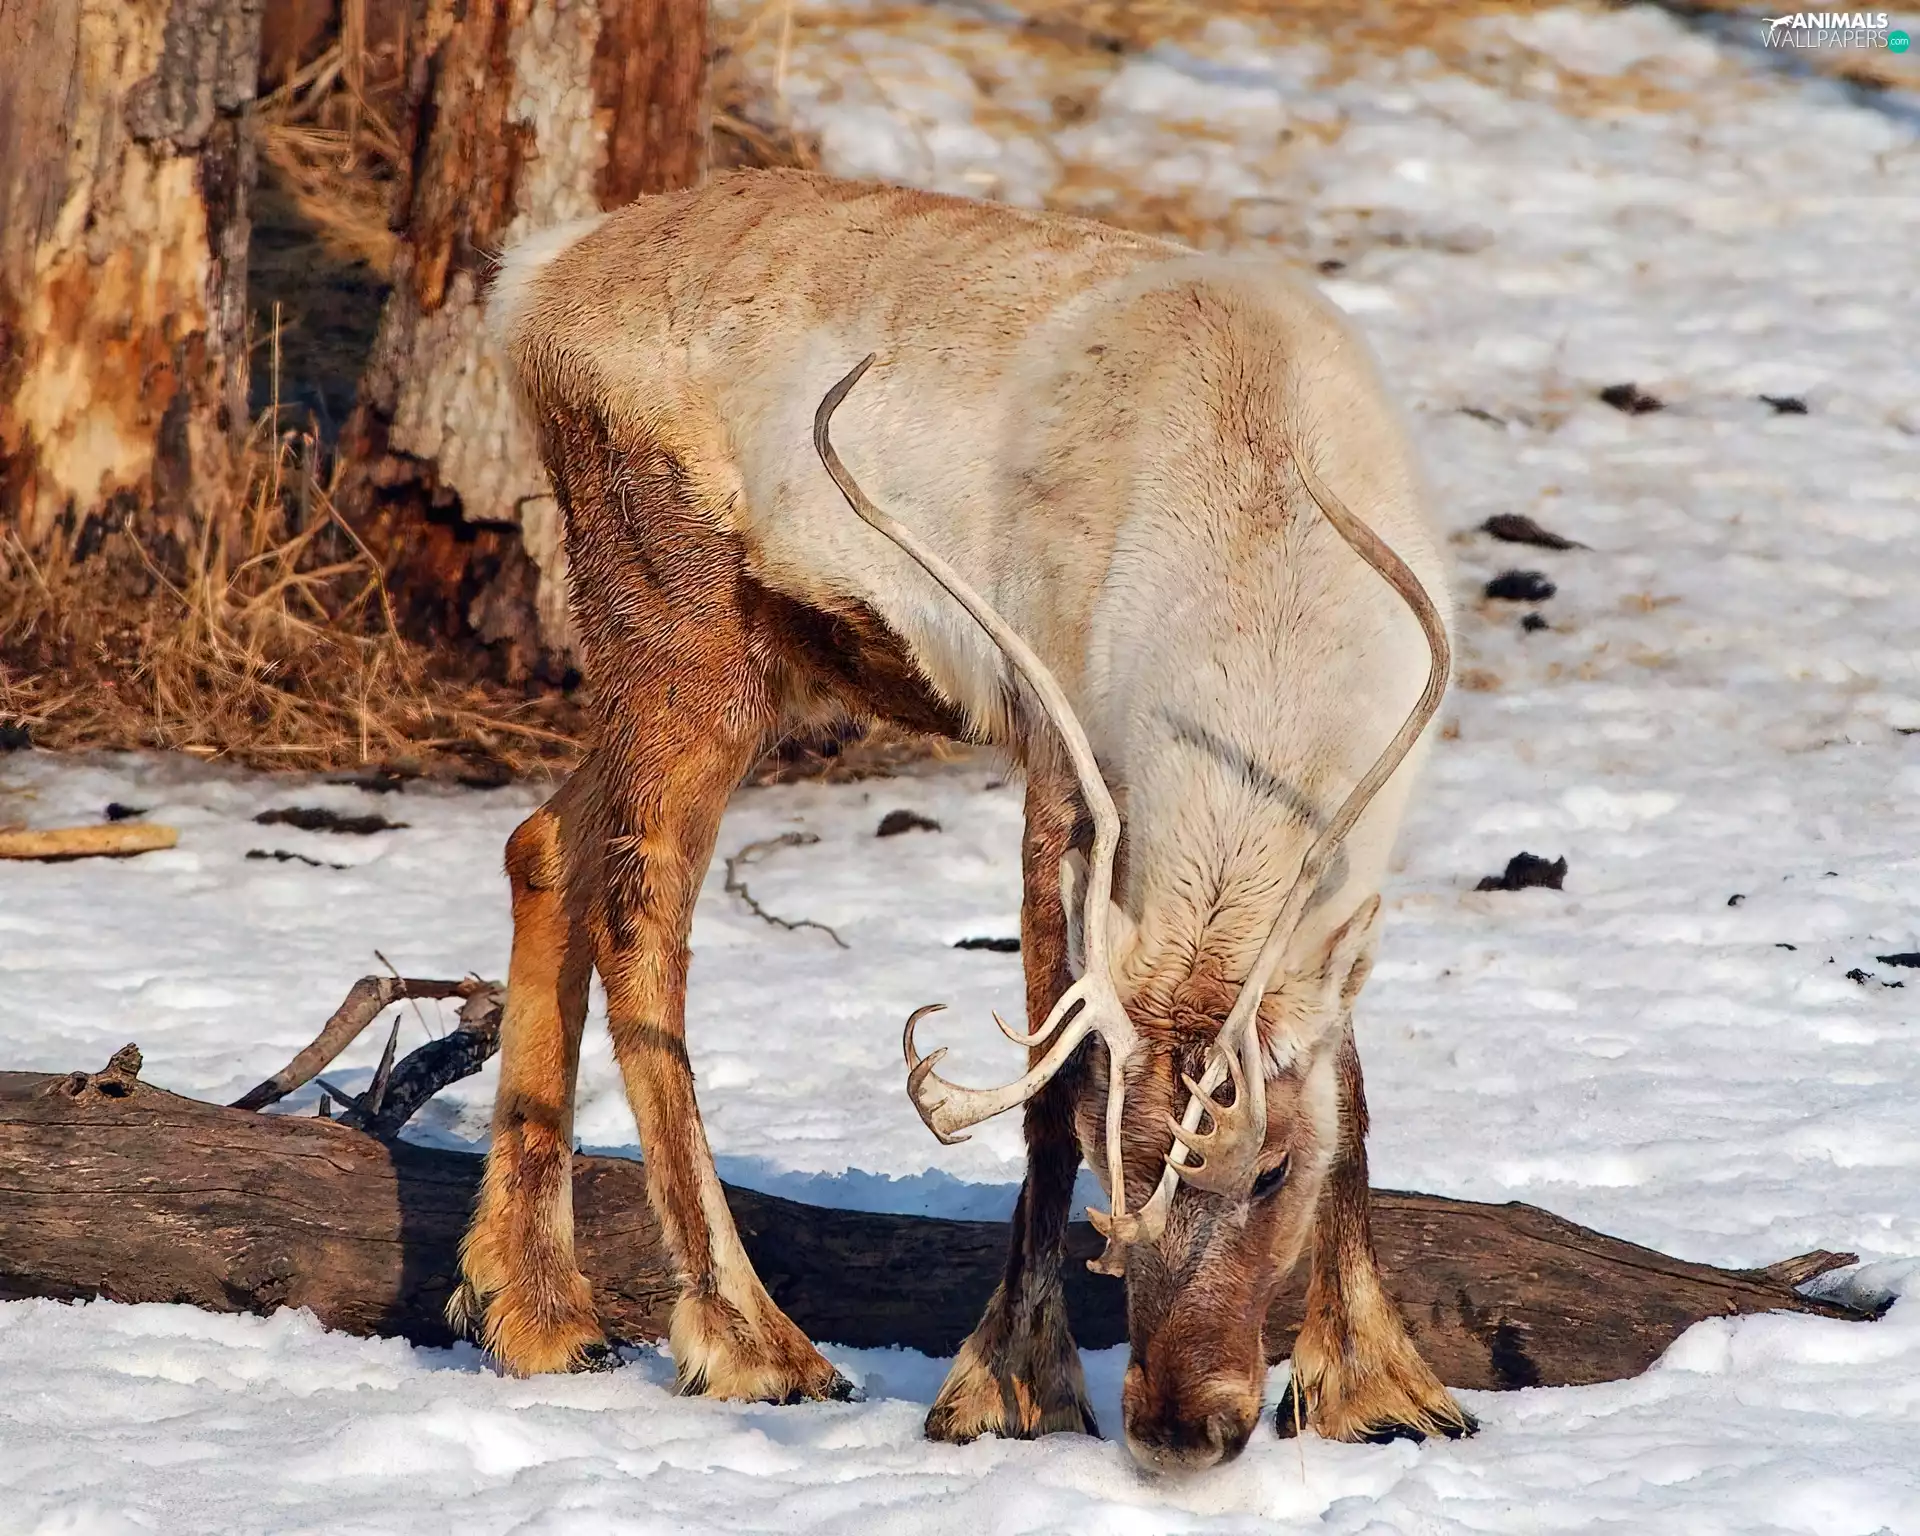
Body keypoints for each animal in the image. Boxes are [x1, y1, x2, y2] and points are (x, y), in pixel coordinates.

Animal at [449, 169, 1474, 1472]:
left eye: (1269, 1173)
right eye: (1120, 1170)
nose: (1177, 1425)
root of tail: (530, 283)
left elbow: (1350, 1083)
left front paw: (1379, 1384)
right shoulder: (1062, 766)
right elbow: (1043, 1086)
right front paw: (1014, 1386)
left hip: (760, 662)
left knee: (543, 842)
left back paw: (532, 1307)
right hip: (681, 623)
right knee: (640, 908)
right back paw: (751, 1341)